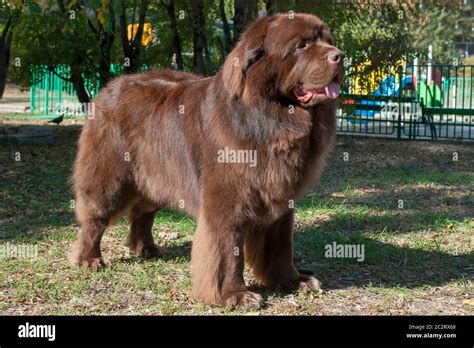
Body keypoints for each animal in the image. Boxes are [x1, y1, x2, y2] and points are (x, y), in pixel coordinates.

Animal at [70, 12, 344, 310]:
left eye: (327, 40)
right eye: (301, 45)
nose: (340, 56)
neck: (269, 117)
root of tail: (110, 86)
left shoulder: (281, 198)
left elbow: (280, 245)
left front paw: (294, 281)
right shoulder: (227, 200)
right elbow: (226, 251)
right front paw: (233, 295)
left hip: (156, 175)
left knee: (143, 211)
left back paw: (145, 248)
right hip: (111, 178)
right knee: (95, 216)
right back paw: (89, 259)